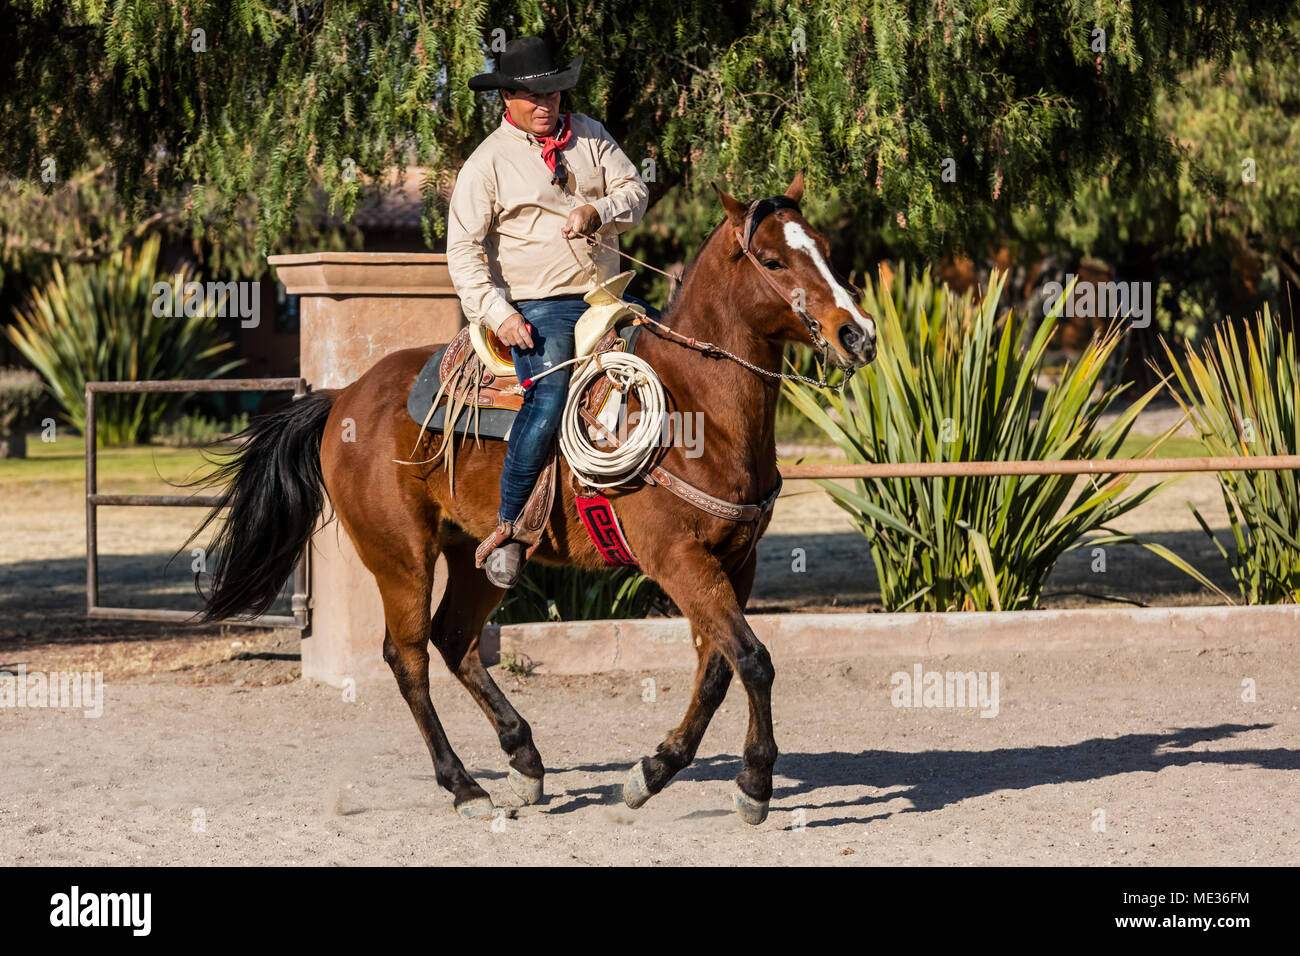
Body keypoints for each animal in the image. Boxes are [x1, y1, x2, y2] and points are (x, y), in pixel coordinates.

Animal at [194, 173, 877, 824]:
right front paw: (754, 783)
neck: (694, 409)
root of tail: (343, 396)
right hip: (400, 556)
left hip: (479, 555)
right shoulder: (676, 558)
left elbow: (718, 669)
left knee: (454, 638)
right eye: (774, 260)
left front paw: (653, 771)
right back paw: (464, 787)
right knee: (408, 657)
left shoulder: (737, 560)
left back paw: (524, 759)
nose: (860, 335)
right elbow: (753, 660)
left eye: (826, 248)